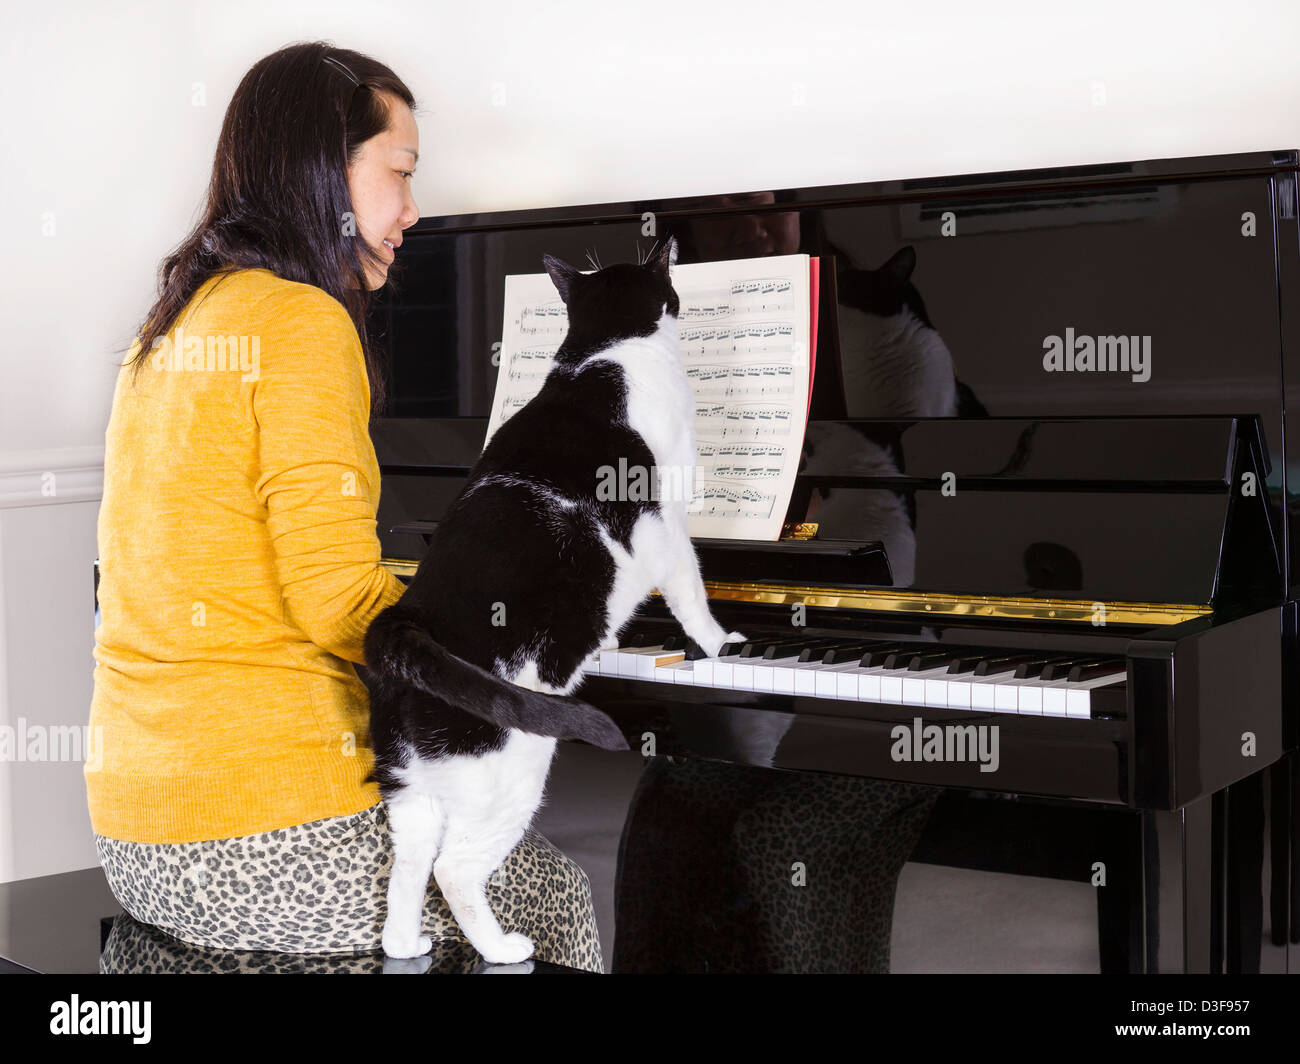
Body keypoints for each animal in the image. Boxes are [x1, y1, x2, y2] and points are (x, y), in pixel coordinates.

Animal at [364, 238, 743, 962]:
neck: (603, 349)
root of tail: (405, 624)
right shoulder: (666, 533)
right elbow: (691, 590)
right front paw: (719, 644)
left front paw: (615, 640)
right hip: (511, 773)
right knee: (455, 870)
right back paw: (503, 950)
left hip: (410, 790)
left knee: (408, 869)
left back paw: (407, 945)